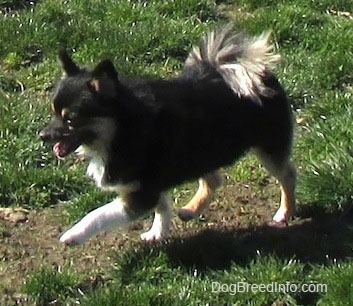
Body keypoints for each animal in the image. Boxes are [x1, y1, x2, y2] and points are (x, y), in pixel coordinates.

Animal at [40, 26, 296, 246]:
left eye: (71, 119)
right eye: (53, 112)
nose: (42, 135)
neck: (121, 131)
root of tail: (257, 73)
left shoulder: (141, 194)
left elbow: (99, 214)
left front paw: (74, 235)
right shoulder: (152, 184)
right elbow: (162, 208)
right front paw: (158, 232)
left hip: (267, 147)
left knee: (287, 175)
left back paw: (284, 212)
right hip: (201, 151)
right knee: (213, 179)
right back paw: (191, 209)